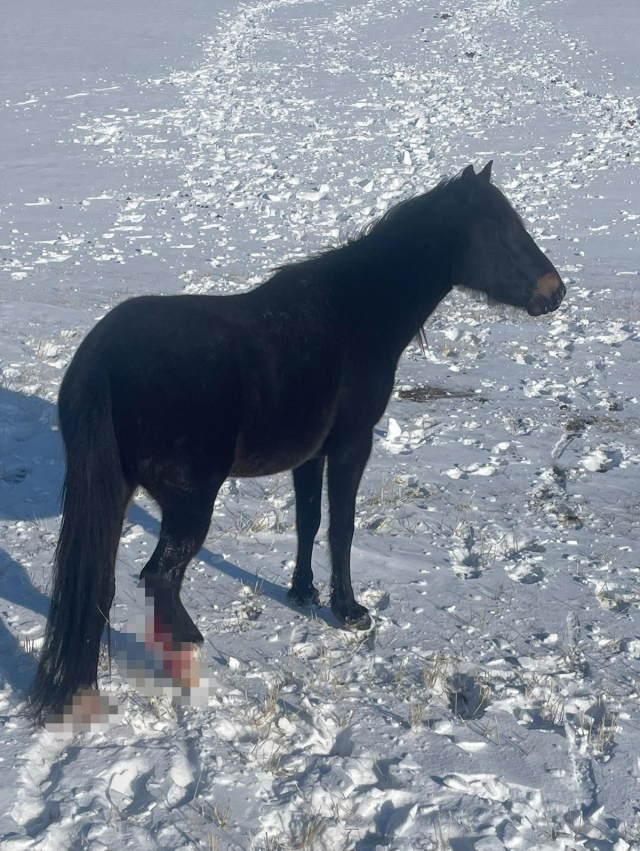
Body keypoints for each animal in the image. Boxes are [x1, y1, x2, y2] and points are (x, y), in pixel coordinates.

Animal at [29, 162, 565, 723]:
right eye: (501, 233)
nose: (556, 292)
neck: (354, 312)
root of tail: (102, 359)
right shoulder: (351, 446)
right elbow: (341, 527)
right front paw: (349, 610)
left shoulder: (308, 457)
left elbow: (308, 521)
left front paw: (303, 591)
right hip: (189, 504)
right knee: (160, 579)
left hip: (117, 493)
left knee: (101, 585)